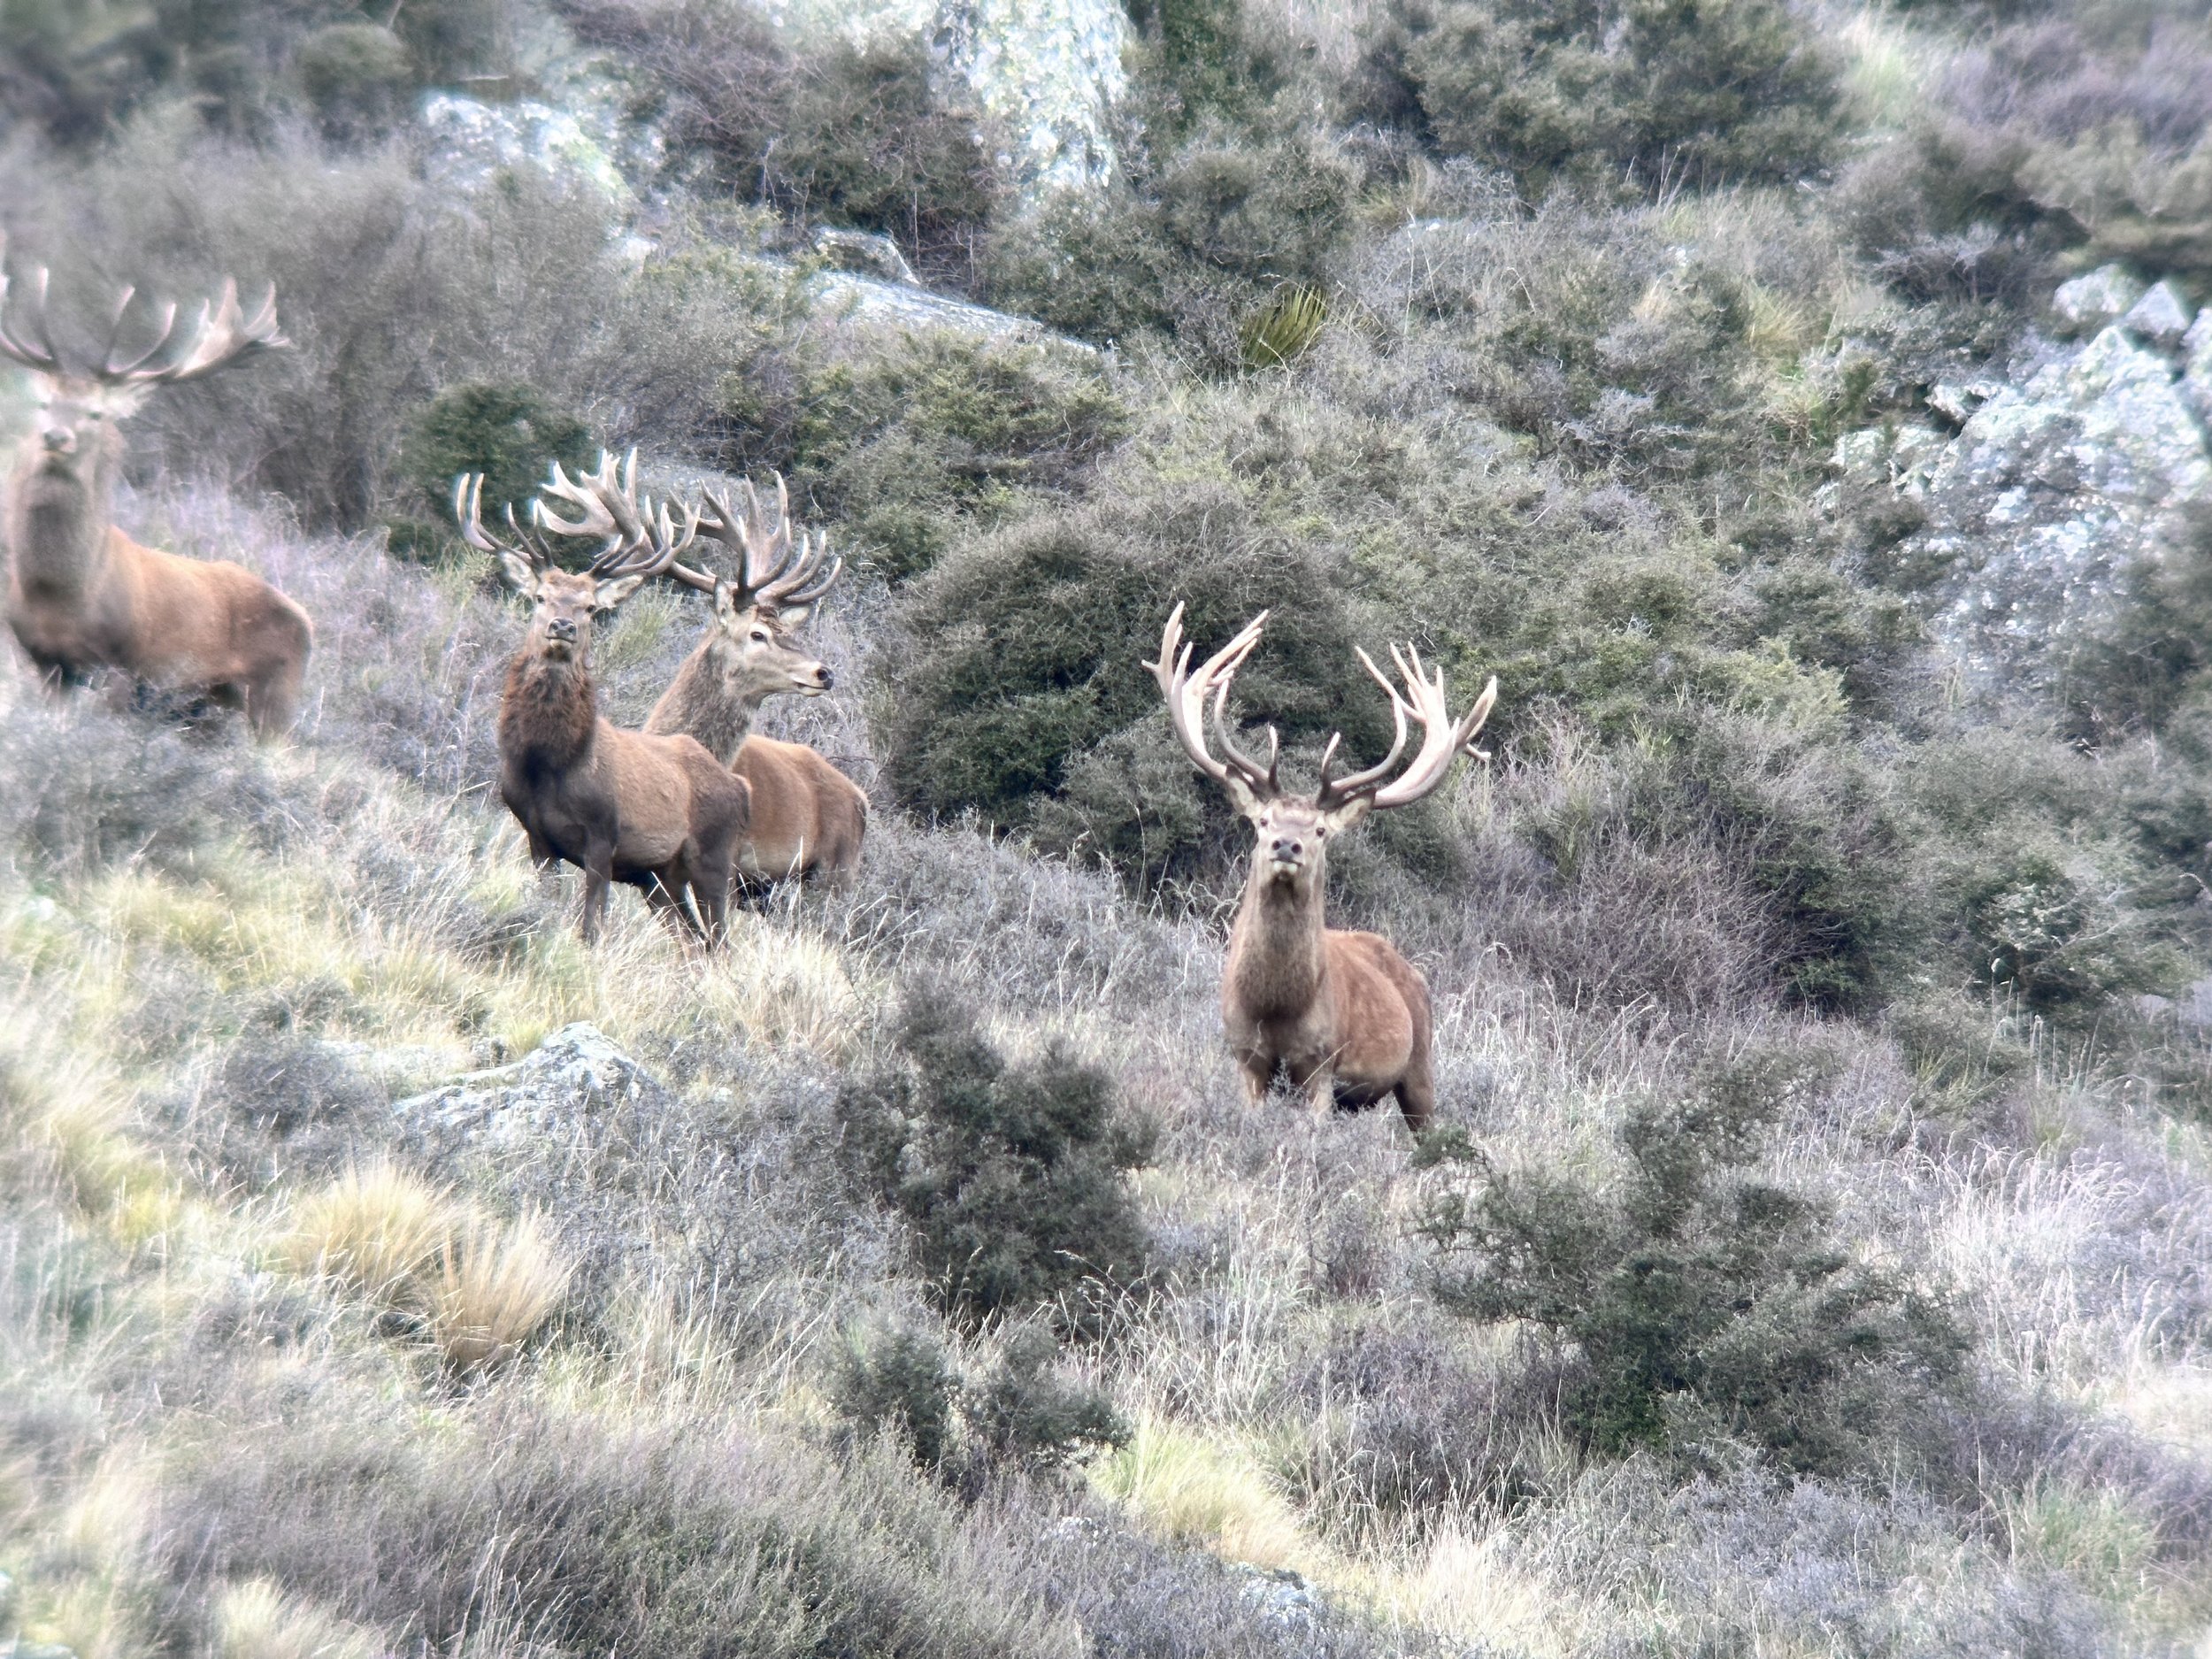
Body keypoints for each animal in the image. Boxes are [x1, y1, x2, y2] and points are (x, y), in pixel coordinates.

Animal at [0, 239, 312, 738]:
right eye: (45, 404)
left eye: (96, 413)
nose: (56, 437)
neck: (60, 595)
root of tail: (306, 619)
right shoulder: (46, 661)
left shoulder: (124, 661)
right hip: (207, 704)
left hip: (276, 692)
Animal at [455, 451, 751, 946]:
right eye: (540, 597)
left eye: (591, 607)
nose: (563, 626)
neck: (550, 764)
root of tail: (739, 786)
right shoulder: (537, 838)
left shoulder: (604, 835)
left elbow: (591, 925)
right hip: (660, 875)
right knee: (693, 939)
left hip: (714, 858)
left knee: (720, 941)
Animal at [626, 473, 867, 890]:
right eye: (758, 634)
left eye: (786, 631)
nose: (825, 673)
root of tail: (862, 799)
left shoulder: (730, 860)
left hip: (838, 869)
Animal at [1151, 604, 1497, 1134]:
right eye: (1263, 821)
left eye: (1319, 831)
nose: (1286, 845)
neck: (1275, 1006)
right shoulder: (1245, 1055)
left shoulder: (1320, 1063)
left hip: (1420, 1065)